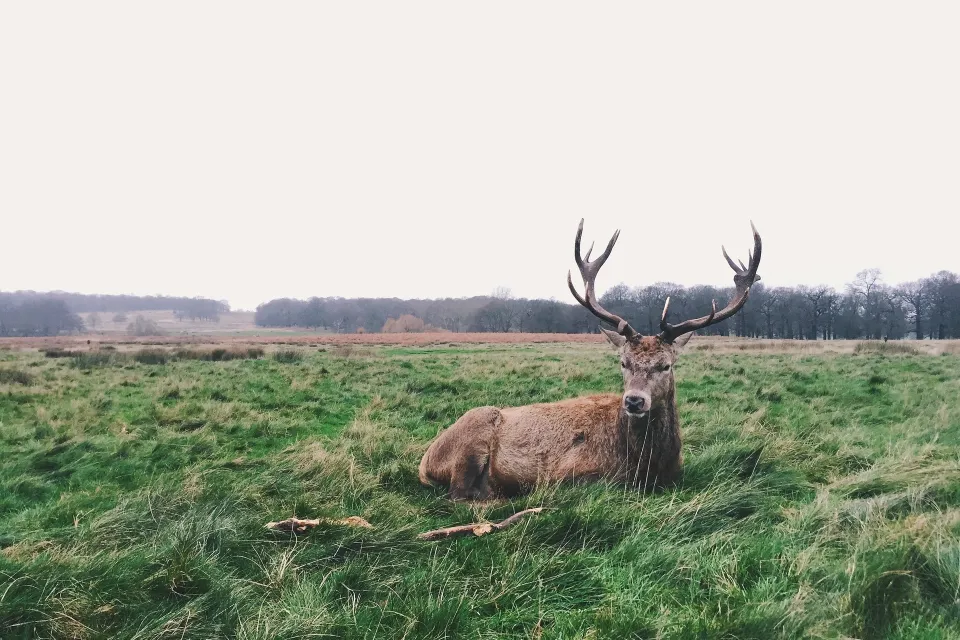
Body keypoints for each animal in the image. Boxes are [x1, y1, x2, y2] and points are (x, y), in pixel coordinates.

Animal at [418, 220, 762, 501]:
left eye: (666, 365)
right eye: (623, 362)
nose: (634, 401)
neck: (646, 466)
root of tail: (426, 460)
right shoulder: (569, 474)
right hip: (472, 437)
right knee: (460, 494)